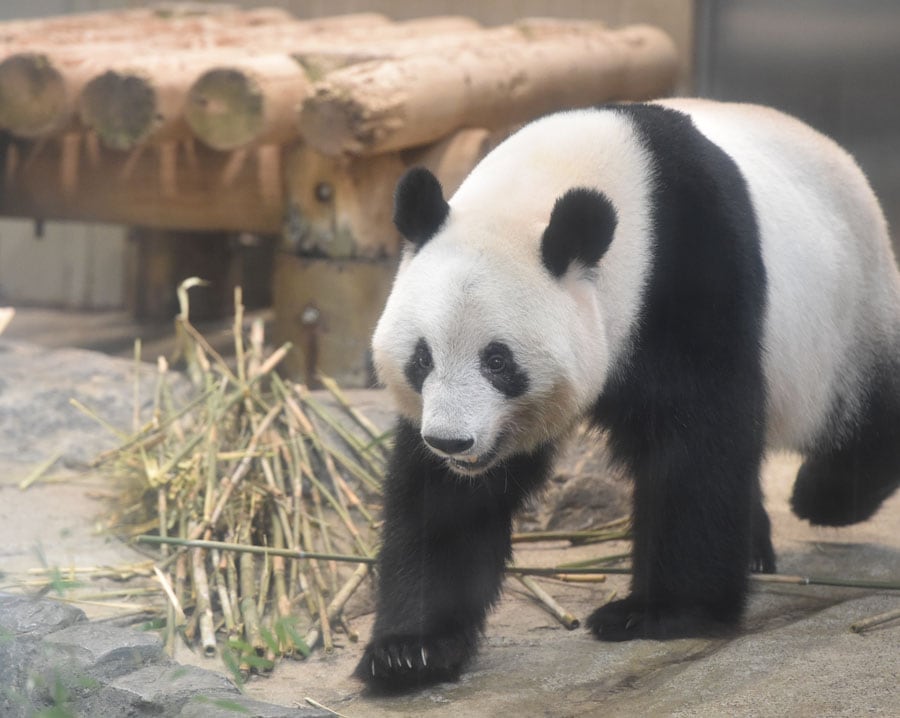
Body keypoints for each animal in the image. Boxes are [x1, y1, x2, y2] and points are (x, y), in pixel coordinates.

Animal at [356, 98, 900, 696]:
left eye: (498, 361)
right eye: (422, 358)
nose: (452, 442)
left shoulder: (688, 271)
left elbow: (697, 441)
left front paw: (659, 613)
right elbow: (444, 502)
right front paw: (411, 651)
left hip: (846, 318)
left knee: (864, 411)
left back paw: (825, 498)